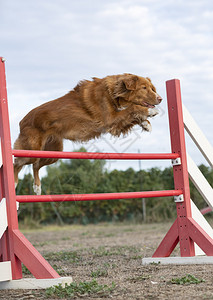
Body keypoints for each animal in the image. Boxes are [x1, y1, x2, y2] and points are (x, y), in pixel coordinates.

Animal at [14, 73, 162, 193]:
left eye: (152, 88)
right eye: (144, 88)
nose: (160, 98)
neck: (114, 92)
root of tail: (22, 121)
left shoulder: (116, 123)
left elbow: (132, 115)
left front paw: (146, 124)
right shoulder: (110, 120)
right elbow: (133, 108)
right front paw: (150, 112)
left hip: (53, 152)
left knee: (36, 165)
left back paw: (37, 187)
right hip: (31, 151)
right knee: (17, 163)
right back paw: (15, 187)